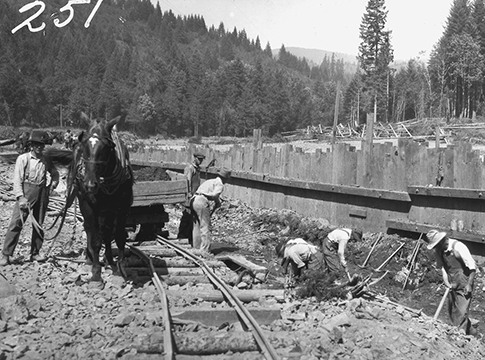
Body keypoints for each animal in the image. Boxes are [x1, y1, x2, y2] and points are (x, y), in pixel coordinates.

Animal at [46, 116, 132, 286]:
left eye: (107, 148)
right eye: (84, 146)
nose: (90, 184)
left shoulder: (121, 208)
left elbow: (118, 236)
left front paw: (120, 269)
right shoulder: (88, 206)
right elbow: (95, 239)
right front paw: (96, 275)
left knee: (106, 232)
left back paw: (109, 261)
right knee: (89, 230)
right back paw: (89, 259)